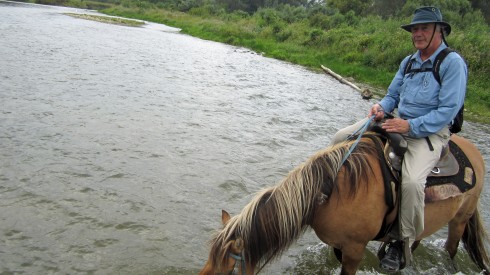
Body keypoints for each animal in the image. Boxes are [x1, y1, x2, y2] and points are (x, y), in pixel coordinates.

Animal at [200, 133, 490, 274]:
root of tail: (474, 152)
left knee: (451, 250)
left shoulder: (354, 250)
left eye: (227, 270)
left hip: (460, 219)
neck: (327, 195)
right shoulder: (338, 246)